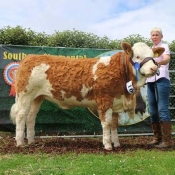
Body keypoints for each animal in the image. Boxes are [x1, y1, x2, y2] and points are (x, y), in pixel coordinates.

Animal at [10, 42, 164, 150]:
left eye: (152, 56)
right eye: (137, 56)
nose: (154, 68)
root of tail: (29, 57)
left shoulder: (115, 102)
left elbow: (114, 125)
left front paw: (117, 143)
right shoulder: (104, 100)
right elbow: (107, 123)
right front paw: (108, 145)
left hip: (37, 97)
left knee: (31, 117)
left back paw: (31, 141)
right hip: (25, 95)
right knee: (21, 115)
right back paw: (20, 142)